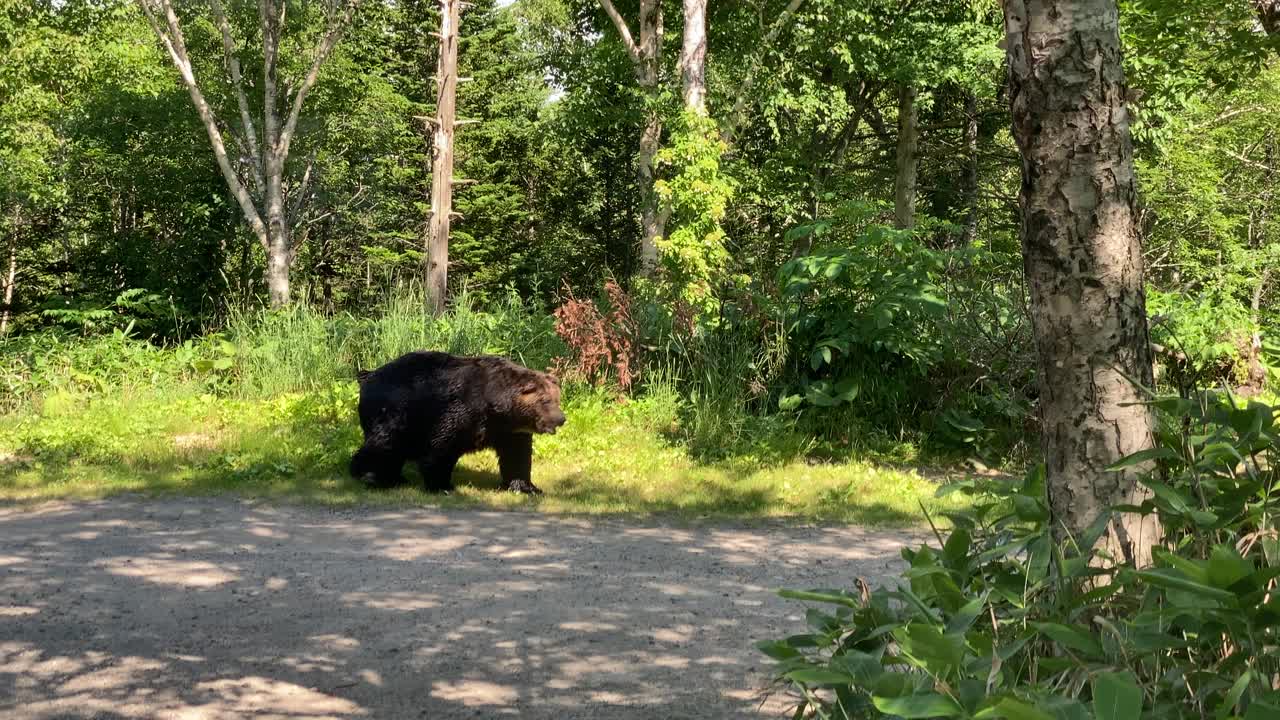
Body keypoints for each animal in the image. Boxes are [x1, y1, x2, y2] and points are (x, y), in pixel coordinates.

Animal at [353, 348, 568, 491]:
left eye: (557, 399)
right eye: (545, 400)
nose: (561, 418)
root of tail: (368, 375)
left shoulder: (509, 430)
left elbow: (516, 455)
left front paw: (527, 487)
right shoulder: (460, 410)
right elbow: (441, 446)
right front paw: (442, 485)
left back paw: (395, 478)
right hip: (395, 410)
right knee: (384, 442)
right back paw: (371, 476)